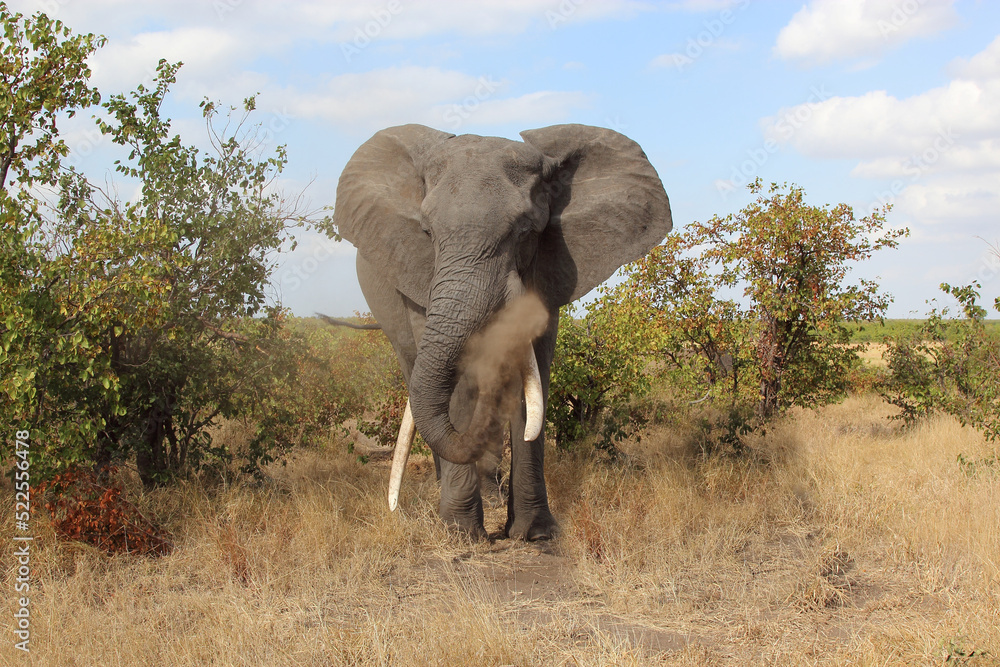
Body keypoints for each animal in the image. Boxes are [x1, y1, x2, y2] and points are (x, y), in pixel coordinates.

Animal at [334, 123, 672, 540]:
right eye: (427, 232)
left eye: (525, 231)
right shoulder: (417, 272)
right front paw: (460, 533)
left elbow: (535, 374)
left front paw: (535, 533)